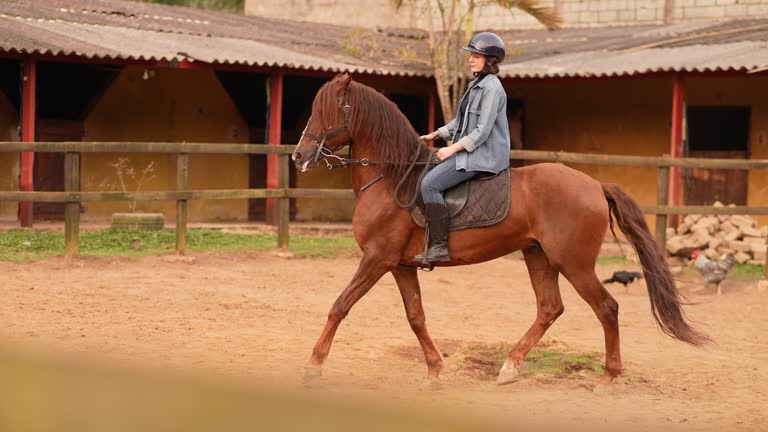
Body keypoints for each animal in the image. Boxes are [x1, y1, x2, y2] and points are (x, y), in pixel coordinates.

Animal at [290, 72, 708, 386]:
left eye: (327, 112)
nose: (298, 157)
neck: (392, 178)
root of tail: (594, 184)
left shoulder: (377, 259)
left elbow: (340, 305)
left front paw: (313, 365)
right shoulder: (401, 265)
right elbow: (416, 317)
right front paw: (436, 368)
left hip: (573, 263)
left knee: (606, 307)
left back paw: (607, 377)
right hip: (538, 256)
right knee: (549, 308)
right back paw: (510, 366)